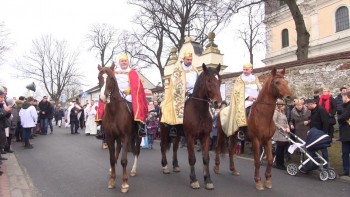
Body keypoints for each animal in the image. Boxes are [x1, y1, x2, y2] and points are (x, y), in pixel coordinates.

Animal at [97, 63, 141, 193]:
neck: (114, 111)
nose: (103, 97)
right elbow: (112, 158)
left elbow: (124, 160)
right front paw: (112, 180)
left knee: (136, 151)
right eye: (98, 77)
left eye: (112, 78)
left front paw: (125, 183)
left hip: (137, 137)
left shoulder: (126, 137)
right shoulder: (110, 137)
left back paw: (133, 170)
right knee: (118, 150)